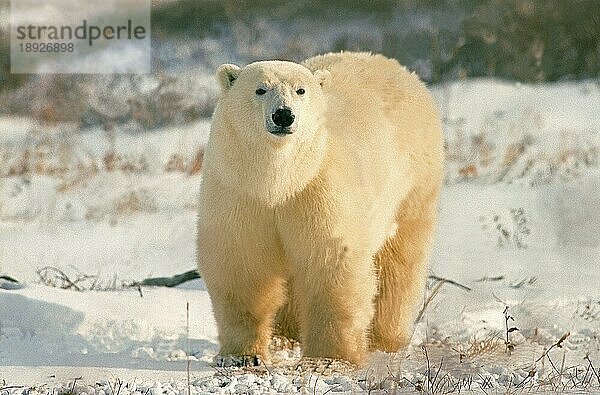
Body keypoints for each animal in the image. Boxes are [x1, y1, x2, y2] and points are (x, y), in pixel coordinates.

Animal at [195, 51, 442, 366]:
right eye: (260, 89)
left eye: (301, 90)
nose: (283, 115)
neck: (280, 181)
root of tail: (399, 68)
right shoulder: (240, 192)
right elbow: (242, 264)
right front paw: (242, 356)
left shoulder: (316, 189)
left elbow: (330, 261)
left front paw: (329, 358)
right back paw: (287, 332)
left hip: (413, 183)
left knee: (398, 264)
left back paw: (385, 338)